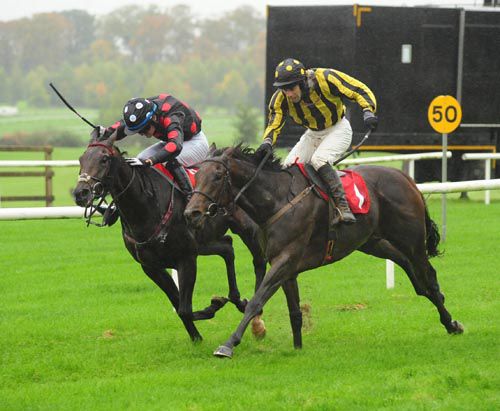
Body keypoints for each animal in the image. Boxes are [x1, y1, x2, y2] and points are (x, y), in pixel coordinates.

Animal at [73, 135, 268, 342]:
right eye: (81, 159)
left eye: (104, 159)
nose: (80, 193)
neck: (145, 208)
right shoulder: (152, 267)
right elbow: (179, 305)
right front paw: (198, 333)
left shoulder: (186, 259)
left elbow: (184, 309)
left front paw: (212, 309)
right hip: (204, 243)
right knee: (228, 247)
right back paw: (237, 299)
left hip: (247, 229)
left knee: (259, 261)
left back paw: (256, 318)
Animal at [185, 146, 464, 358]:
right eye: (196, 176)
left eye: (217, 176)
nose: (191, 213)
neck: (277, 200)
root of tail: (404, 177)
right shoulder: (286, 266)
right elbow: (294, 311)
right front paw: (297, 348)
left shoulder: (285, 260)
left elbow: (256, 301)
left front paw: (229, 344)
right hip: (373, 242)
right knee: (412, 272)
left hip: (412, 240)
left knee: (429, 277)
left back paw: (451, 323)